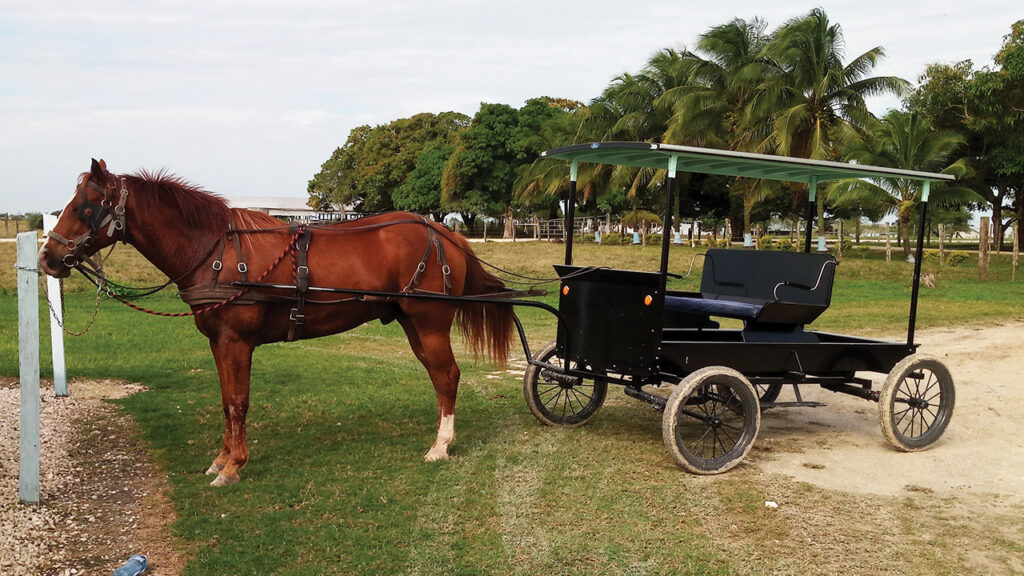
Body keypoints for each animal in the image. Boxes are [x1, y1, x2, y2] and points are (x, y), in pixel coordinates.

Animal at [38, 159, 515, 486]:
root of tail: (446, 233)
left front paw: (233, 467)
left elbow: (238, 402)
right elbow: (225, 400)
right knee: (439, 377)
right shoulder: (219, 343)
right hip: (412, 324)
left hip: (429, 323)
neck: (215, 252)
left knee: (447, 376)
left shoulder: (236, 342)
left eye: (86, 207)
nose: (47, 258)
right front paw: (222, 457)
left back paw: (441, 446)